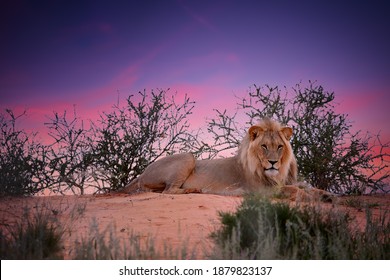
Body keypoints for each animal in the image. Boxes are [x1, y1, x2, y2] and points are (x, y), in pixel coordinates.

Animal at [121, 118, 304, 197]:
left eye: (279, 147)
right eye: (264, 146)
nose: (273, 162)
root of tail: (142, 173)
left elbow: (302, 188)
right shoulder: (258, 190)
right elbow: (296, 190)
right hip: (188, 157)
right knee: (168, 191)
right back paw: (194, 190)